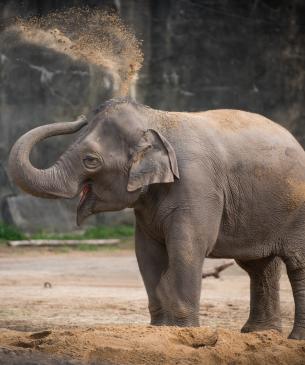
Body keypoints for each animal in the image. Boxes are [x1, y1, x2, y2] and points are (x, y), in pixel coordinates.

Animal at [7, 97, 305, 338]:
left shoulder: (197, 185)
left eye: (90, 160)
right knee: (259, 266)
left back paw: (293, 339)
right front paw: (161, 329)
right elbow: (146, 253)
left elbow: (188, 247)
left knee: (296, 265)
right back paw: (260, 334)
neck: (157, 119)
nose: (80, 117)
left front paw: (184, 332)